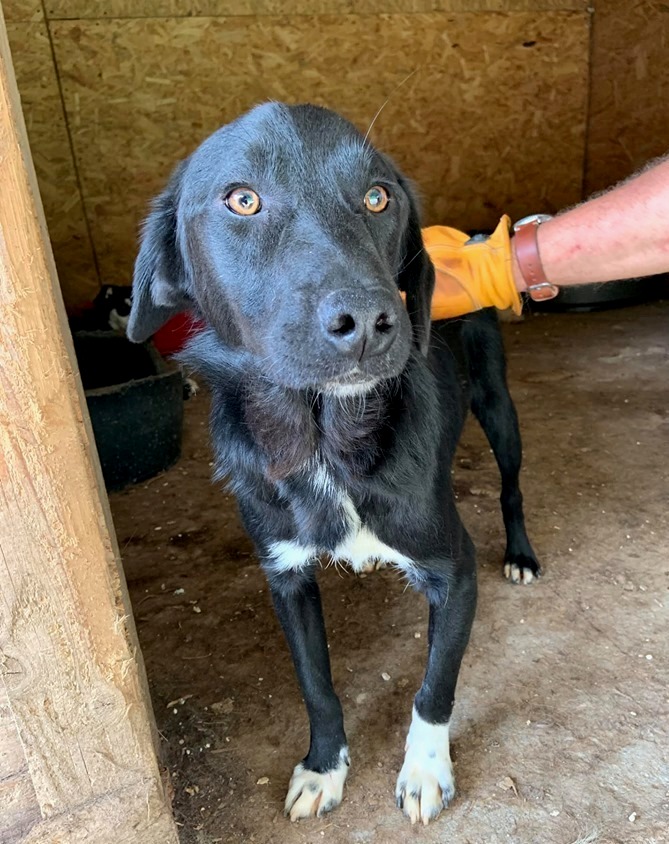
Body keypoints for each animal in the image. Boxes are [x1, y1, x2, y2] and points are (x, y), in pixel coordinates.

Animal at [127, 103, 540, 826]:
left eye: (377, 197)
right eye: (242, 199)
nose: (370, 321)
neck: (323, 437)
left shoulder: (454, 572)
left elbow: (434, 688)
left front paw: (423, 770)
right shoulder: (285, 577)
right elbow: (316, 684)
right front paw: (324, 767)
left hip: (497, 405)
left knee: (511, 485)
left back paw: (520, 553)